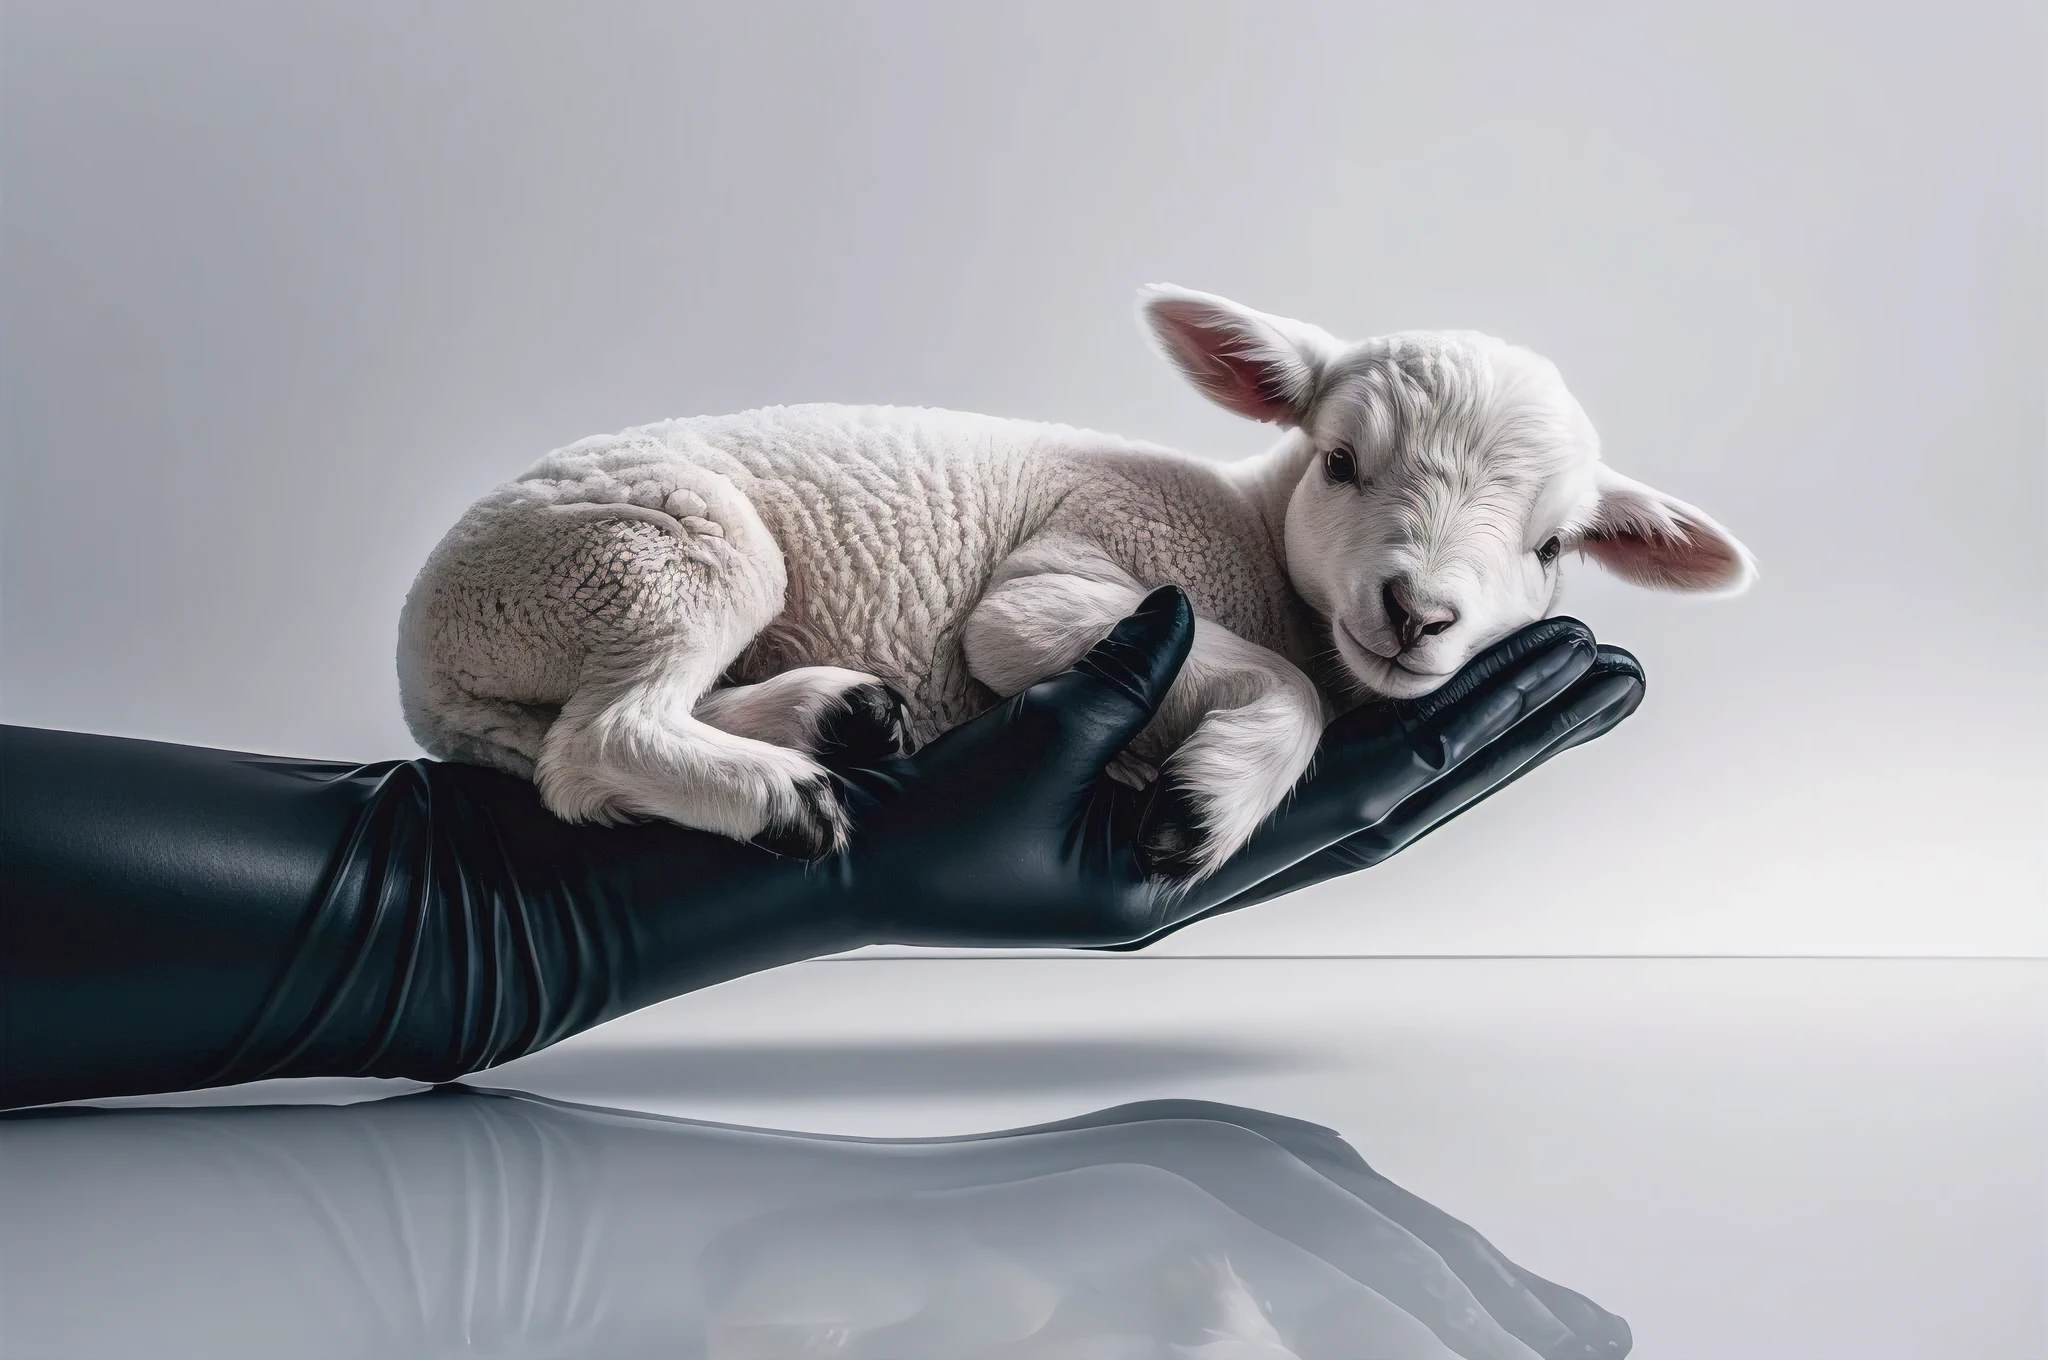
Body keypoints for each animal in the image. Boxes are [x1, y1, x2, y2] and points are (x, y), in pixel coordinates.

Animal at [403, 288, 1761, 880]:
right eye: (1339, 460)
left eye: (1550, 546)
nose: (1416, 613)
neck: (1247, 532)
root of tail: (424, 649)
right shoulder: (1061, 582)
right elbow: (1267, 681)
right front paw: (1206, 807)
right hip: (645, 551)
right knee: (598, 740)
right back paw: (777, 793)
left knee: (600, 740)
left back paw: (834, 716)